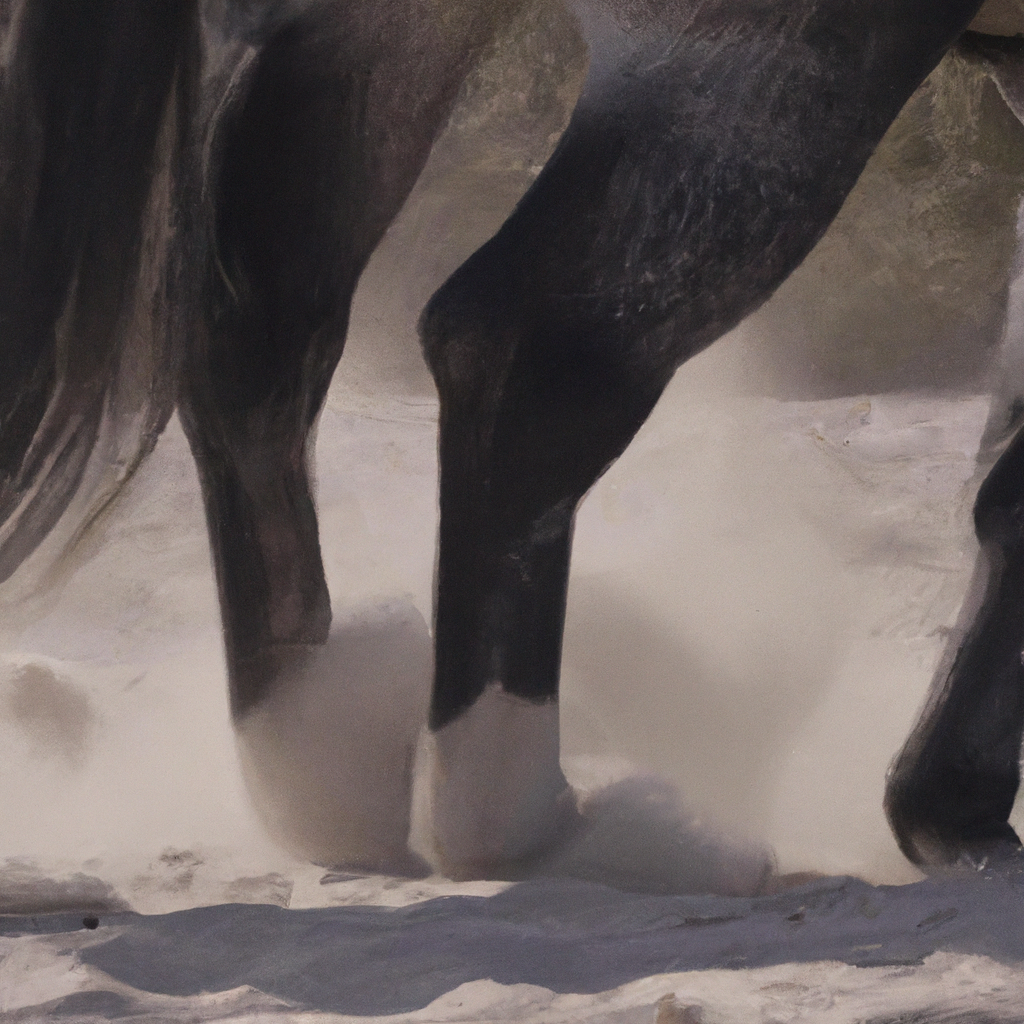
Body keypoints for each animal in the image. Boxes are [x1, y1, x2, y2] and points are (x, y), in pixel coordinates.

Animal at [2, 0, 1024, 884]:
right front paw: (954, 805)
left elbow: (1005, 471)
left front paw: (948, 807)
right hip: (766, 69)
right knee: (530, 353)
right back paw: (533, 822)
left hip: (373, 43)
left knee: (256, 333)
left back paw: (315, 752)